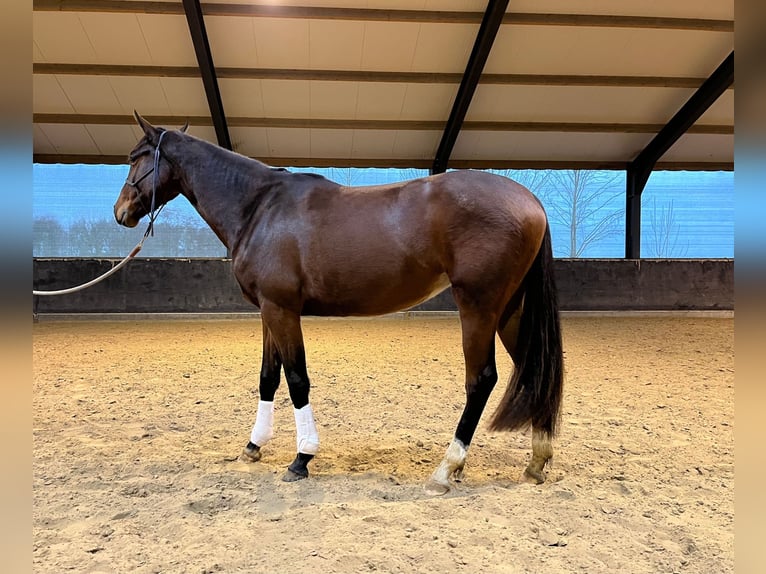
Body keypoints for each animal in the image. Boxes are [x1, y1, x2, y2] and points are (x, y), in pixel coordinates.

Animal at [117, 112, 568, 496]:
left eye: (135, 158)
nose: (121, 212)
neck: (260, 207)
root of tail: (530, 202)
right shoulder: (268, 310)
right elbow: (268, 377)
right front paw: (253, 446)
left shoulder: (282, 310)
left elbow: (296, 379)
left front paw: (302, 458)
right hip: (511, 311)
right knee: (534, 369)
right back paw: (536, 462)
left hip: (478, 307)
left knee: (482, 380)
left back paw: (446, 469)